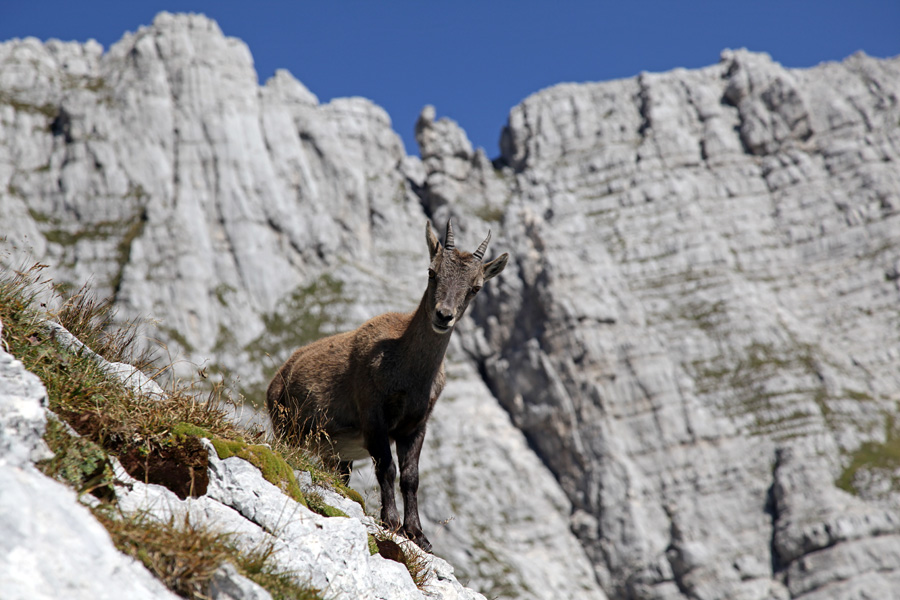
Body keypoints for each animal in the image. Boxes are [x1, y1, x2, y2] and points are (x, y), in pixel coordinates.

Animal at [266, 219, 508, 551]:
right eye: (432, 272)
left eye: (476, 287)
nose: (443, 315)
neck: (408, 371)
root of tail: (279, 377)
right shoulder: (373, 416)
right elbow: (387, 468)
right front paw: (391, 522)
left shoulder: (416, 426)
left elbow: (411, 476)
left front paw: (418, 534)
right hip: (286, 431)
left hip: (335, 454)